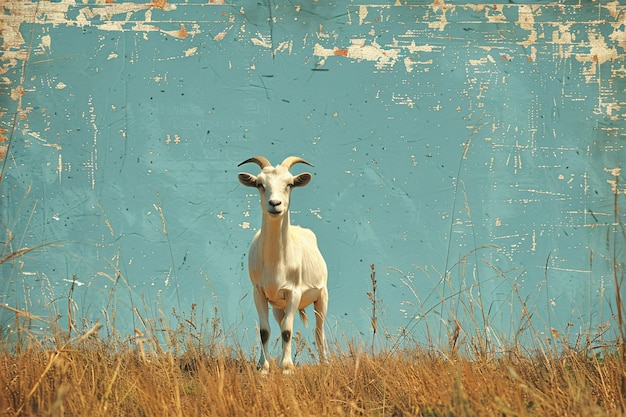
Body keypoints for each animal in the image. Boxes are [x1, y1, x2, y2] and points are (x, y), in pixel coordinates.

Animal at [236, 155, 330, 370]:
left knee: (319, 330)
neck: (276, 263)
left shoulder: (294, 292)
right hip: (279, 305)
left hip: (322, 297)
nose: (275, 203)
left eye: (289, 184)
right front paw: (263, 367)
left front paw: (287, 368)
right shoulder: (259, 292)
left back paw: (325, 362)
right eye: (260, 184)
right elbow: (265, 331)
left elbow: (288, 331)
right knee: (280, 325)